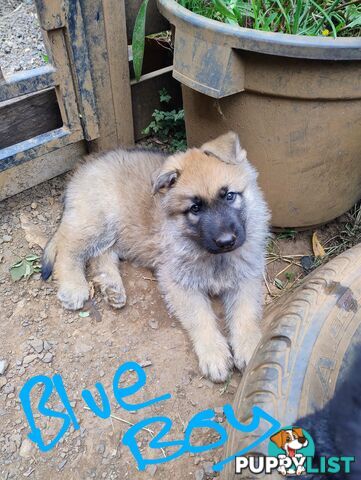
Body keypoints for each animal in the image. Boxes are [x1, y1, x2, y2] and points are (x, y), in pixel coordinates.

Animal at [41, 131, 268, 382]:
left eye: (229, 196)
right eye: (195, 208)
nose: (226, 241)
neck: (213, 256)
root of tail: (85, 165)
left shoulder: (247, 277)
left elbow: (246, 314)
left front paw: (250, 347)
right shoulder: (178, 282)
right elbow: (201, 317)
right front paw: (214, 353)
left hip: (120, 231)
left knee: (102, 253)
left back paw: (112, 287)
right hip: (98, 221)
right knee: (68, 248)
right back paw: (73, 286)